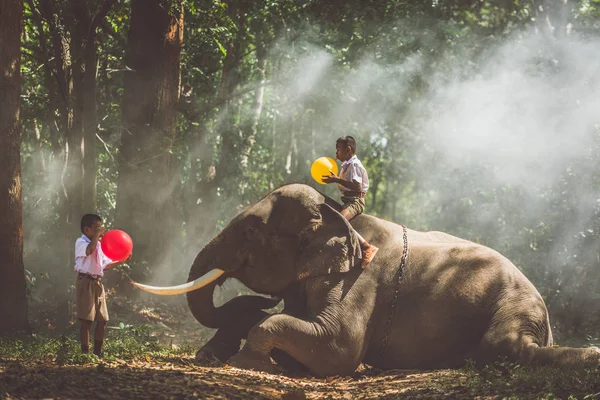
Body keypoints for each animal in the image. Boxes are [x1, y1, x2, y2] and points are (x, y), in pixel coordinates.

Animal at [132, 183, 600, 376]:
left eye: (249, 231)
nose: (258, 297)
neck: (337, 213)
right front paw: (212, 356)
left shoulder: (360, 280)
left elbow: (338, 348)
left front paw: (249, 361)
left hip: (515, 307)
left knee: (504, 348)